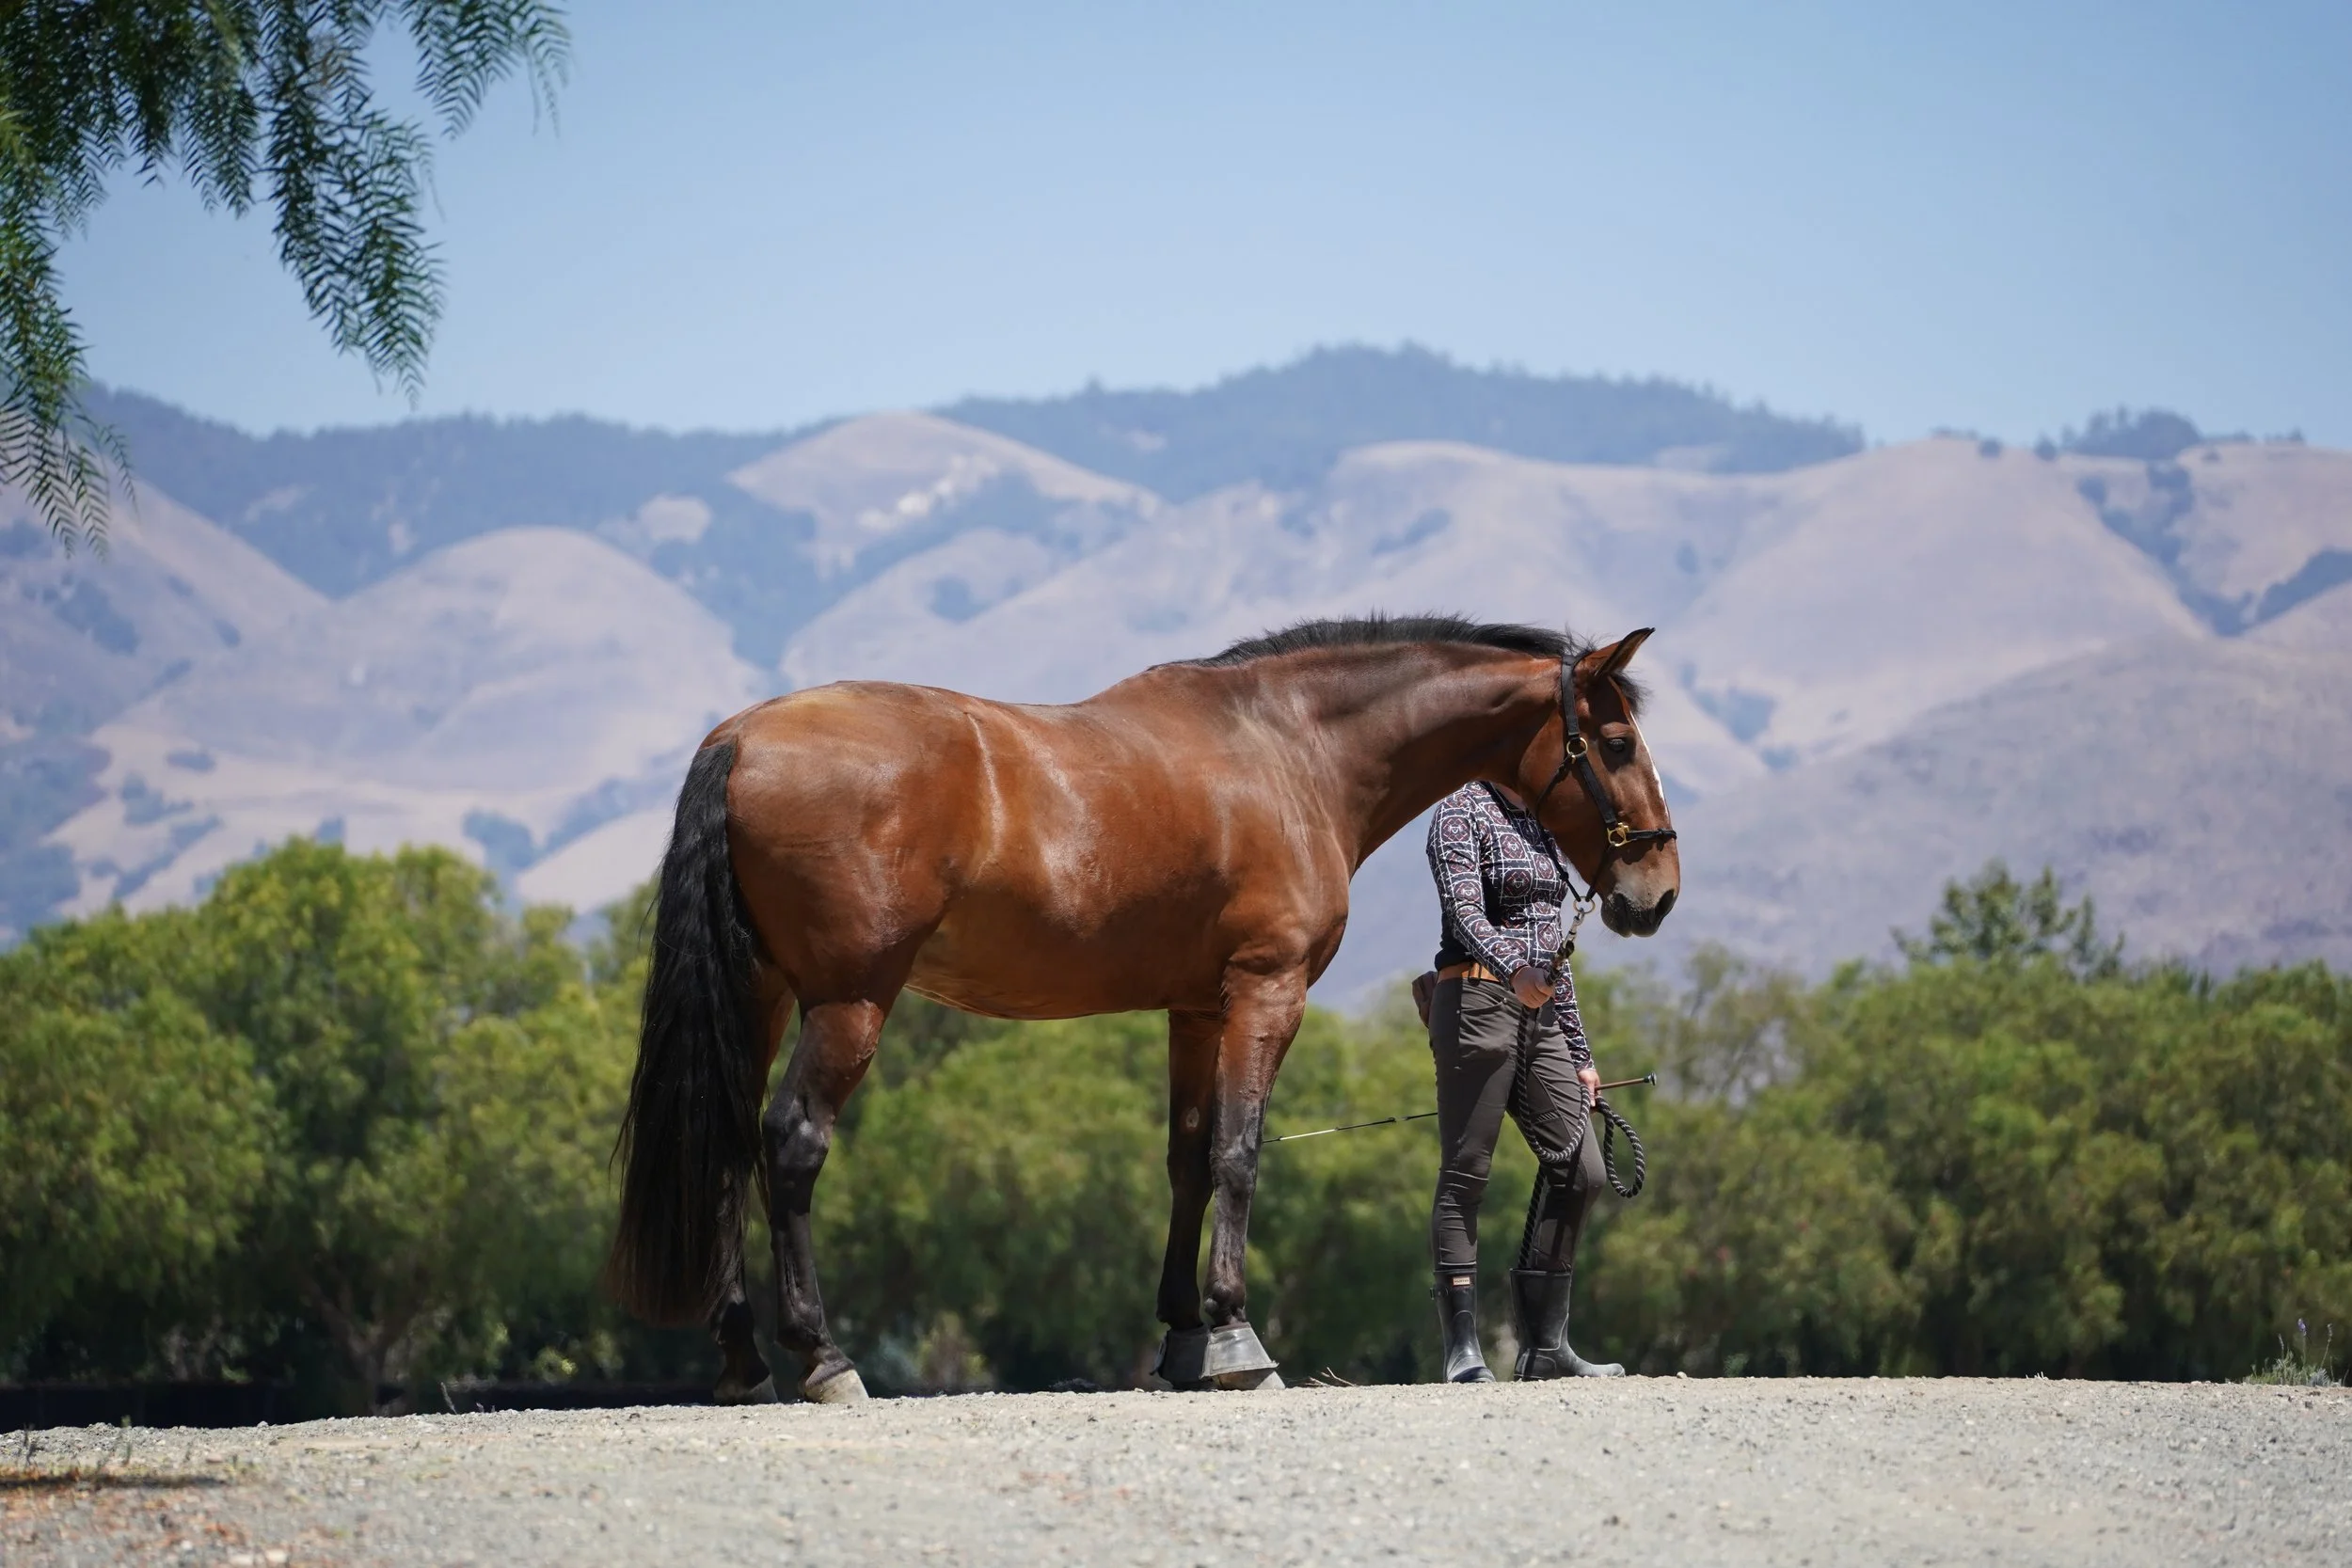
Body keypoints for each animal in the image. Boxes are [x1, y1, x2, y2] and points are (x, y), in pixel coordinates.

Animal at [604, 613, 1681, 1402]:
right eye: (1616, 739)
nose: (1657, 891)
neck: (1290, 748)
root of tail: (742, 736)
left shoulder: (1195, 1011)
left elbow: (1189, 1159)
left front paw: (1184, 1335)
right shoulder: (1264, 993)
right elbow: (1240, 1152)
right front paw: (1238, 1332)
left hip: (763, 996)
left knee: (726, 1143)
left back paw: (743, 1358)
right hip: (848, 1001)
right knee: (789, 1144)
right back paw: (823, 1357)